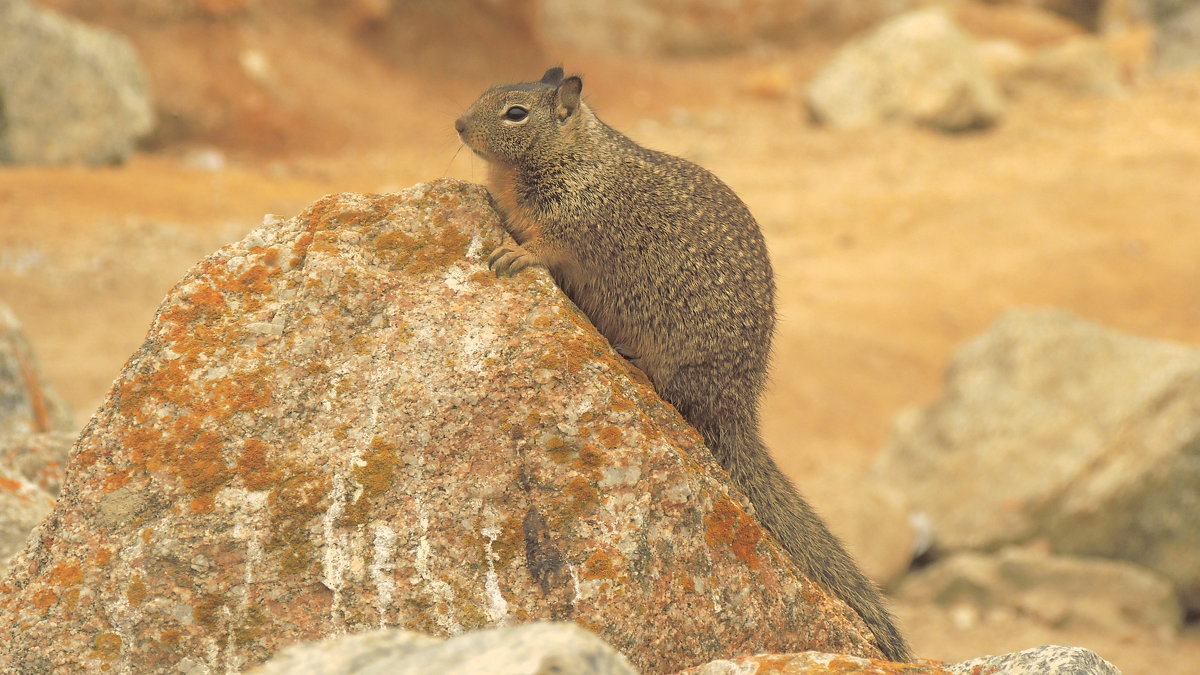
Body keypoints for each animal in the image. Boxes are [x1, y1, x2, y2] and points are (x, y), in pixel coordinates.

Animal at [456, 68, 907, 662]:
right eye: (487, 94)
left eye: (515, 113)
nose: (458, 124)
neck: (574, 152)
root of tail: (736, 407)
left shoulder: (574, 221)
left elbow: (548, 246)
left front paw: (516, 254)